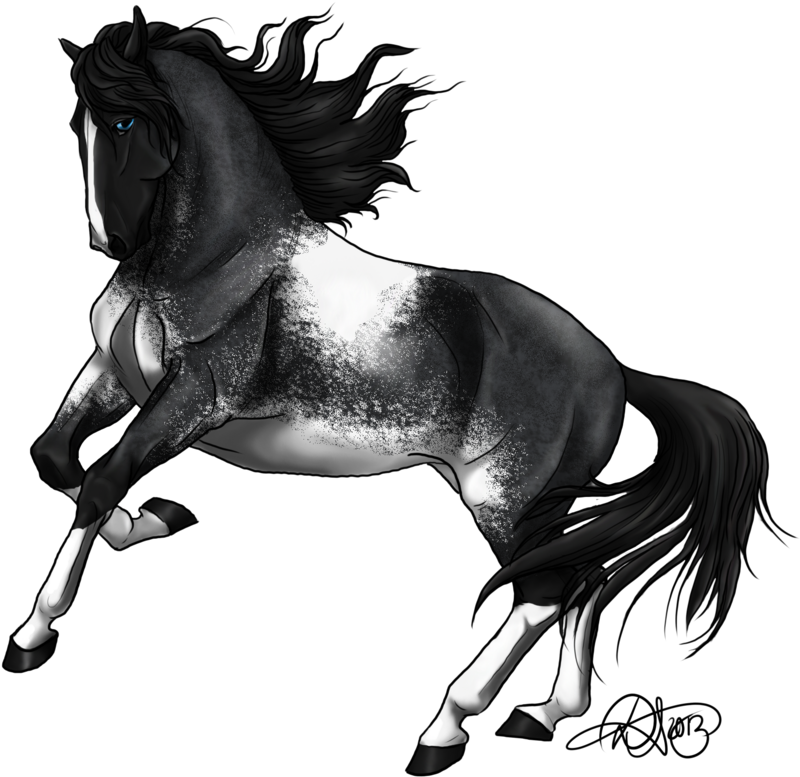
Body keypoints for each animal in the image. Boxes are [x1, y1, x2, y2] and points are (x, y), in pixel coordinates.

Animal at [6, 11, 772, 774]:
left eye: (125, 121)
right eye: (77, 124)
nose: (108, 241)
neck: (214, 259)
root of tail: (612, 367)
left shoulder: (195, 398)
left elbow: (103, 478)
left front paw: (34, 630)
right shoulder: (112, 373)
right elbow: (54, 458)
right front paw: (148, 523)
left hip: (507, 495)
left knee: (543, 594)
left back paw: (447, 725)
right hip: (550, 500)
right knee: (581, 575)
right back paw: (548, 713)